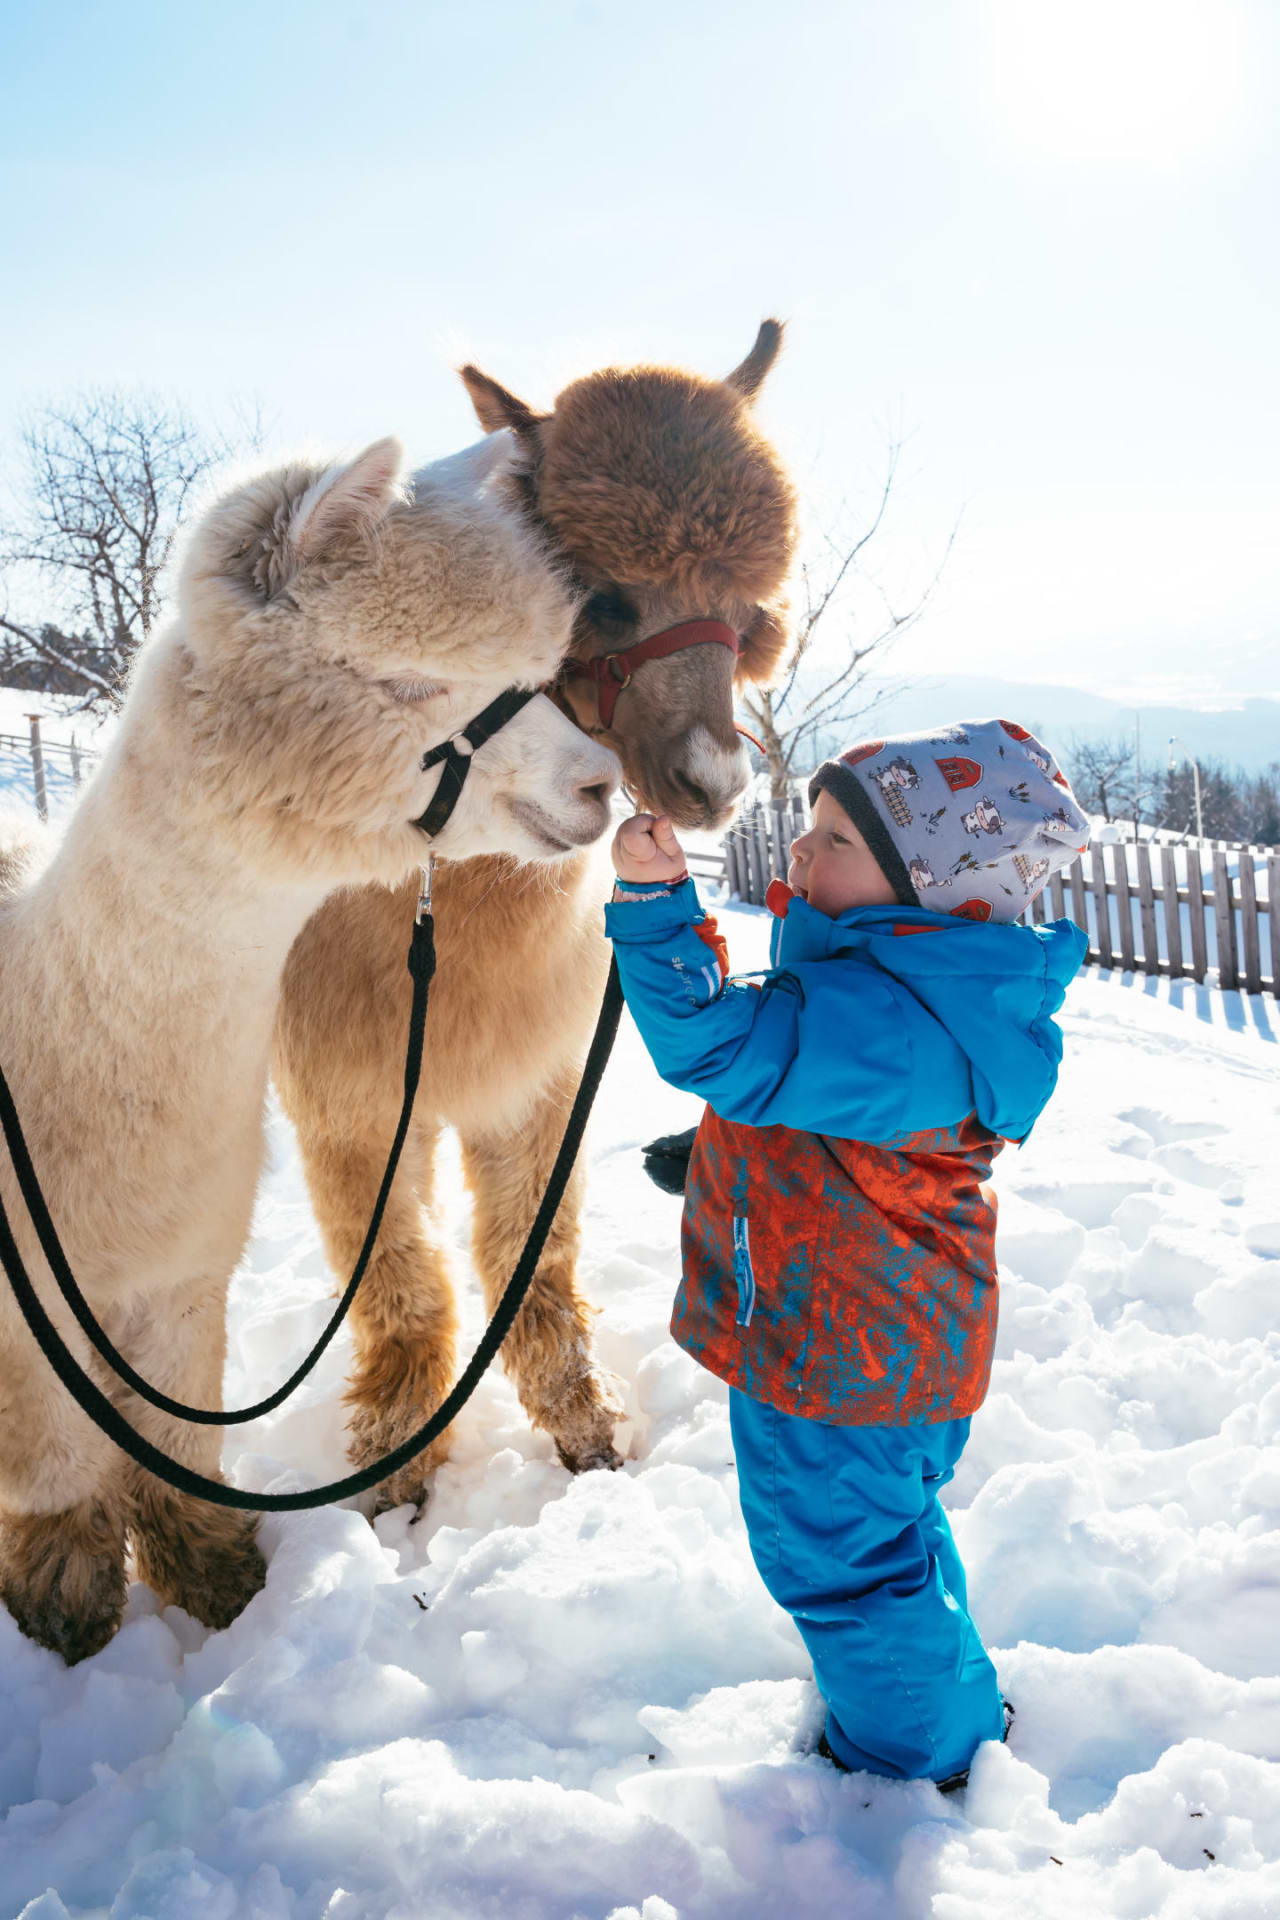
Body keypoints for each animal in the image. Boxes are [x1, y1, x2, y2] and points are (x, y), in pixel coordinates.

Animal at [0, 432, 621, 1662]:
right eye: (414, 681)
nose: (598, 785)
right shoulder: (26, 1315)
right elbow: (56, 1482)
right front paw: (67, 1629)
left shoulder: (179, 1279)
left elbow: (174, 1458)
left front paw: (224, 1598)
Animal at [273, 323, 799, 1511]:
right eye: (601, 601)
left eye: (748, 617)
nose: (712, 783)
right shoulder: (347, 1091)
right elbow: (398, 1275)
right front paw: (394, 1465)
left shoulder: (531, 1080)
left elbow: (533, 1256)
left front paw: (585, 1433)